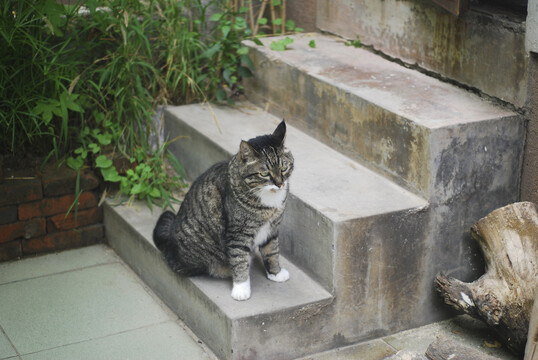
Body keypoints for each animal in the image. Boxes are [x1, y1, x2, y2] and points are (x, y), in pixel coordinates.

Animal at [151, 121, 294, 300]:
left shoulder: (272, 228)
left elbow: (272, 251)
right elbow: (239, 259)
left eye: (284, 168)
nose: (280, 184)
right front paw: (241, 289)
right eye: (264, 173)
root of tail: (169, 243)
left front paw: (276, 273)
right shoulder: (238, 234)